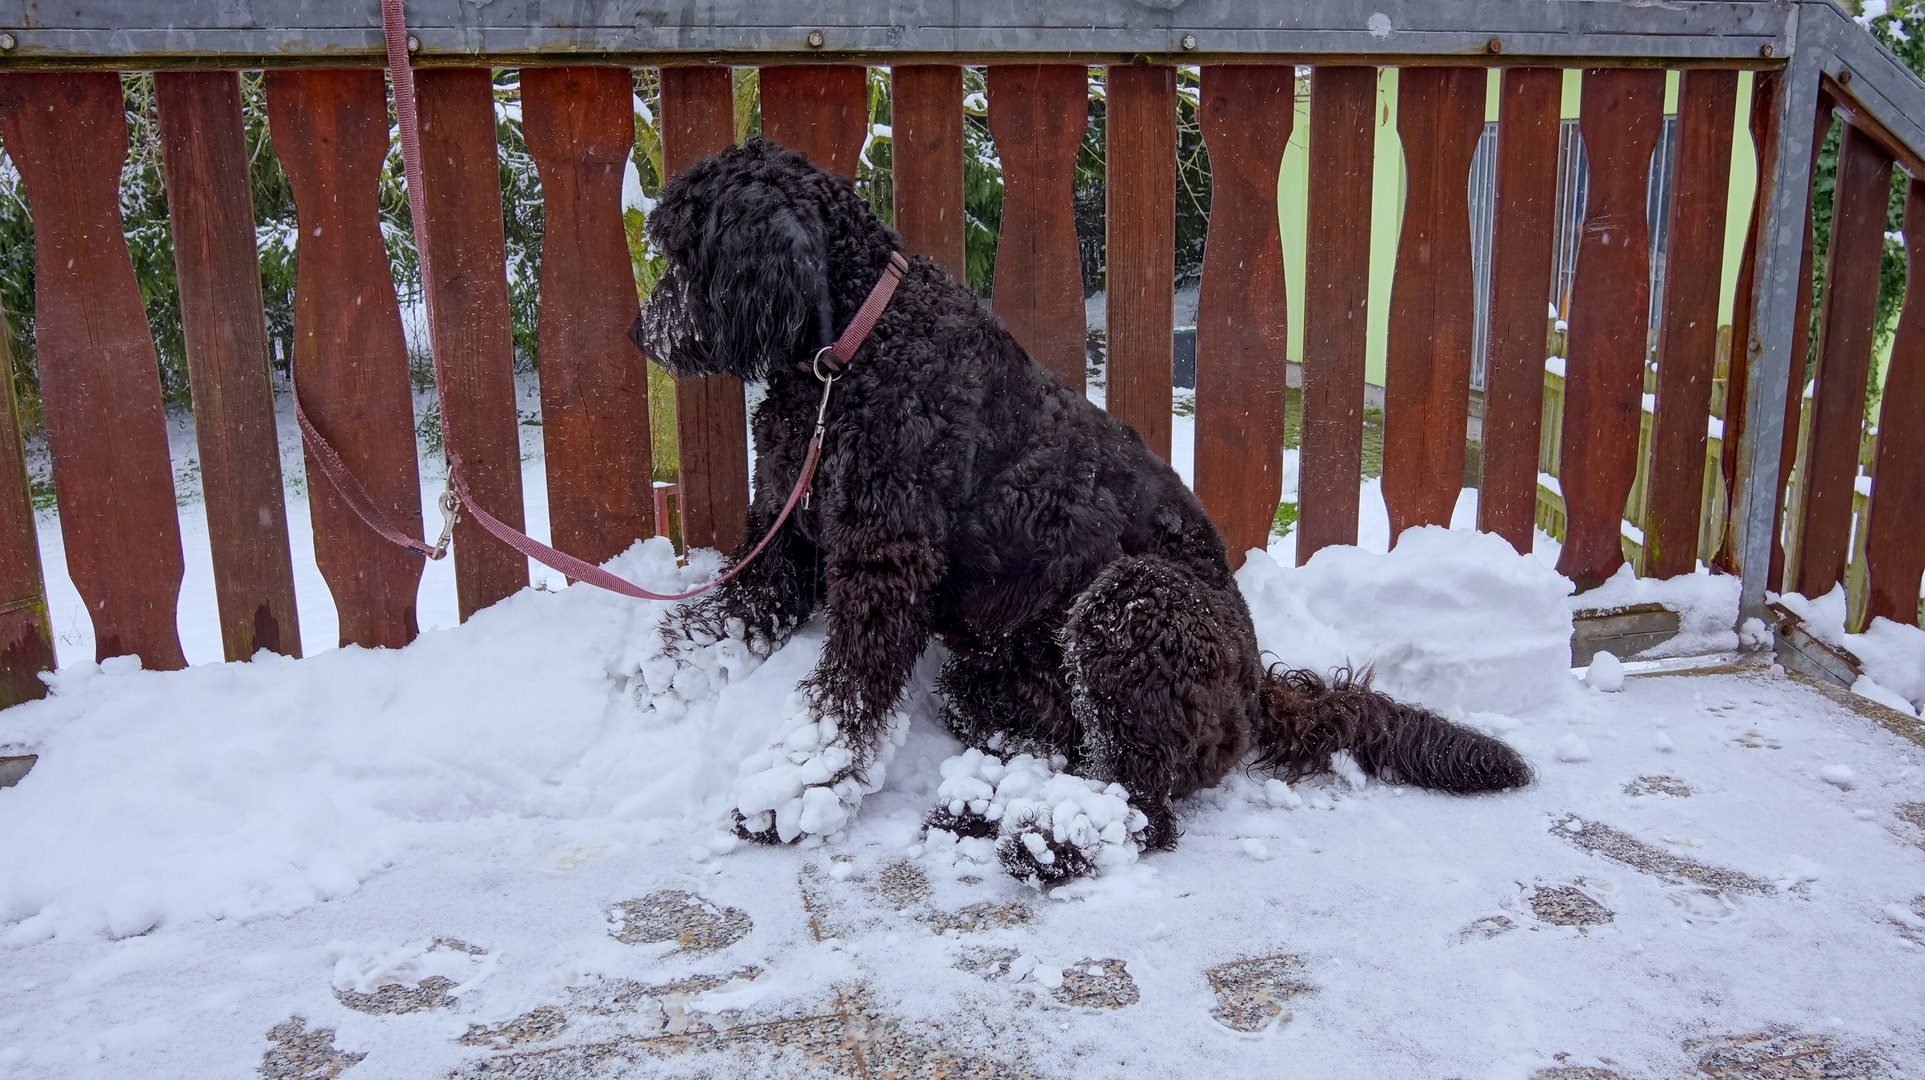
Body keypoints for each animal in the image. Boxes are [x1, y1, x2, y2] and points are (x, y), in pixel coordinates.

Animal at [631, 136, 1532, 877]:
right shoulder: (788, 529)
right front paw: (662, 675)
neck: (850, 351)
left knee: (1144, 802)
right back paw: (990, 800)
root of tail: (1254, 689)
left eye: (687, 255)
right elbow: (729, 608)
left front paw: (796, 792)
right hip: (992, 672)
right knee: (1066, 750)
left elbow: (843, 698)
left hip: (1129, 608)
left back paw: (1052, 839)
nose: (643, 334)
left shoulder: (882, 561)